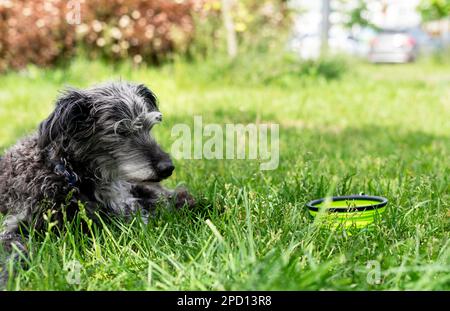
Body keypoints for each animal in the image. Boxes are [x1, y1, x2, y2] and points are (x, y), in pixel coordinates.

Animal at [1, 81, 195, 286]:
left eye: (148, 128)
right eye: (120, 131)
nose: (167, 167)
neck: (73, 178)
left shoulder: (127, 212)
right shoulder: (16, 224)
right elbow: (14, 249)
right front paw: (8, 276)